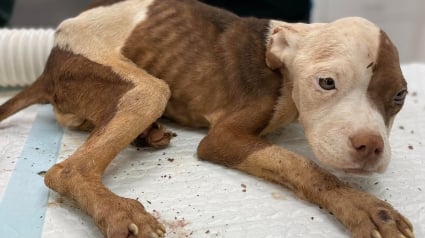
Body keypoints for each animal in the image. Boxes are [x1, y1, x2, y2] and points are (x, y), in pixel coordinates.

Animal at [0, 0, 412, 237]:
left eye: (400, 96)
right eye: (326, 83)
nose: (370, 146)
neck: (283, 63)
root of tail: (49, 62)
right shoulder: (224, 138)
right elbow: (305, 166)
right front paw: (365, 208)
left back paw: (146, 134)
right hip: (146, 89)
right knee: (67, 170)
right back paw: (118, 210)